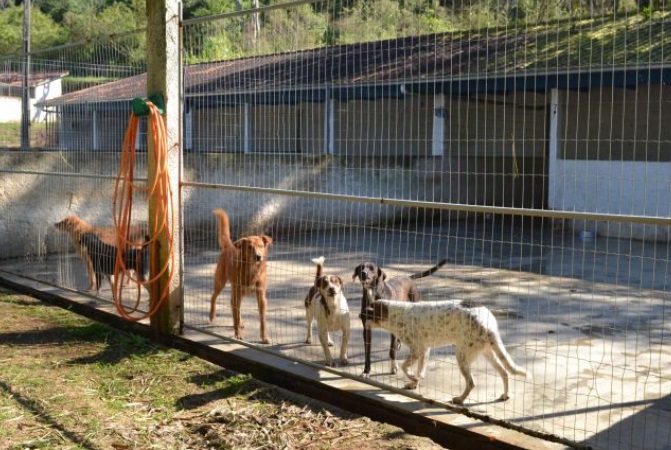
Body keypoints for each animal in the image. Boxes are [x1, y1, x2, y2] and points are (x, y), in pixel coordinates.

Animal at [209, 208, 273, 344]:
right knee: (215, 297)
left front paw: (264, 337)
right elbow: (235, 316)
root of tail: (229, 246)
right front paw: (238, 334)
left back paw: (240, 322)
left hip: (240, 292)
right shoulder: (237, 291)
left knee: (234, 305)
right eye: (249, 247)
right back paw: (212, 315)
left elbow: (262, 321)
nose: (258, 256)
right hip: (221, 283)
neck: (251, 270)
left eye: (261, 246)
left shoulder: (261, 297)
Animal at [360, 299, 528, 405]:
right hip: (489, 353)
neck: (394, 313)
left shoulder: (417, 349)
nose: (364, 330)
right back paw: (505, 395)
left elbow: (404, 367)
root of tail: (488, 323)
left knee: (471, 383)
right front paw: (415, 383)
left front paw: (413, 378)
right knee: (504, 373)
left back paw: (460, 400)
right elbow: (420, 371)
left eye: (364, 317)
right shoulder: (425, 350)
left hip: (461, 356)